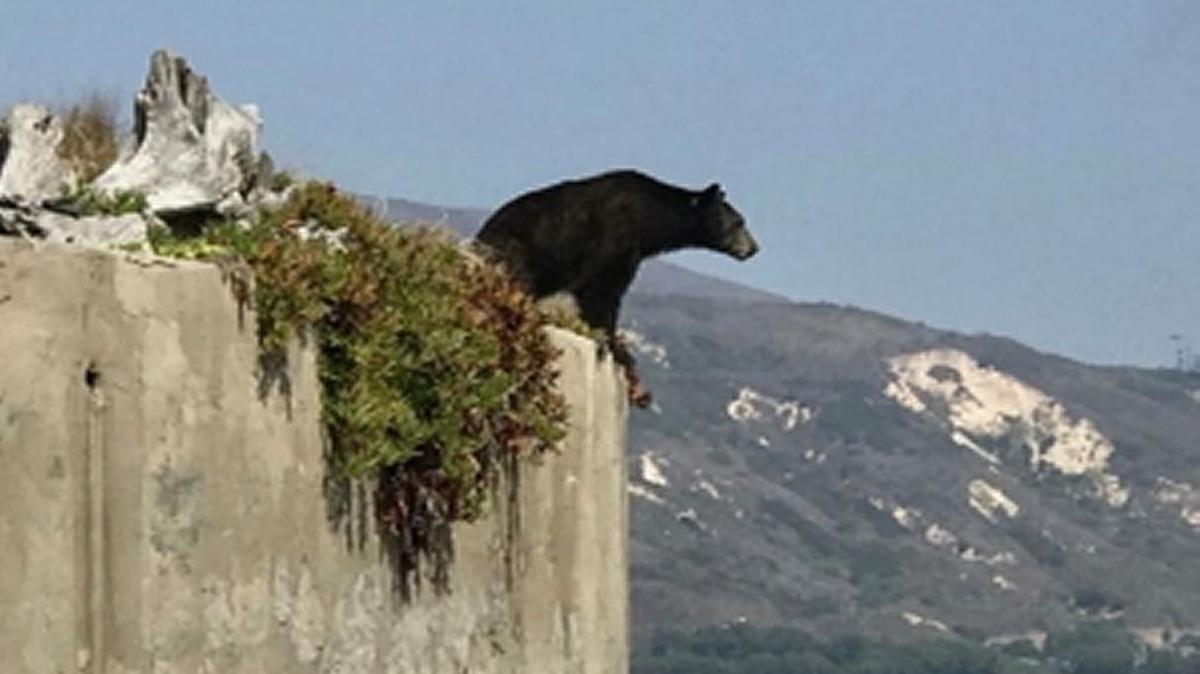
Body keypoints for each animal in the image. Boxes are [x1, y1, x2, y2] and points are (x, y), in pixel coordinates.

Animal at [475, 169, 759, 408]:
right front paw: (616, 348)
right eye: (739, 222)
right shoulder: (616, 233)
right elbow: (601, 288)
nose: (754, 248)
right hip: (518, 251)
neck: (651, 219)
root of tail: (482, 234)